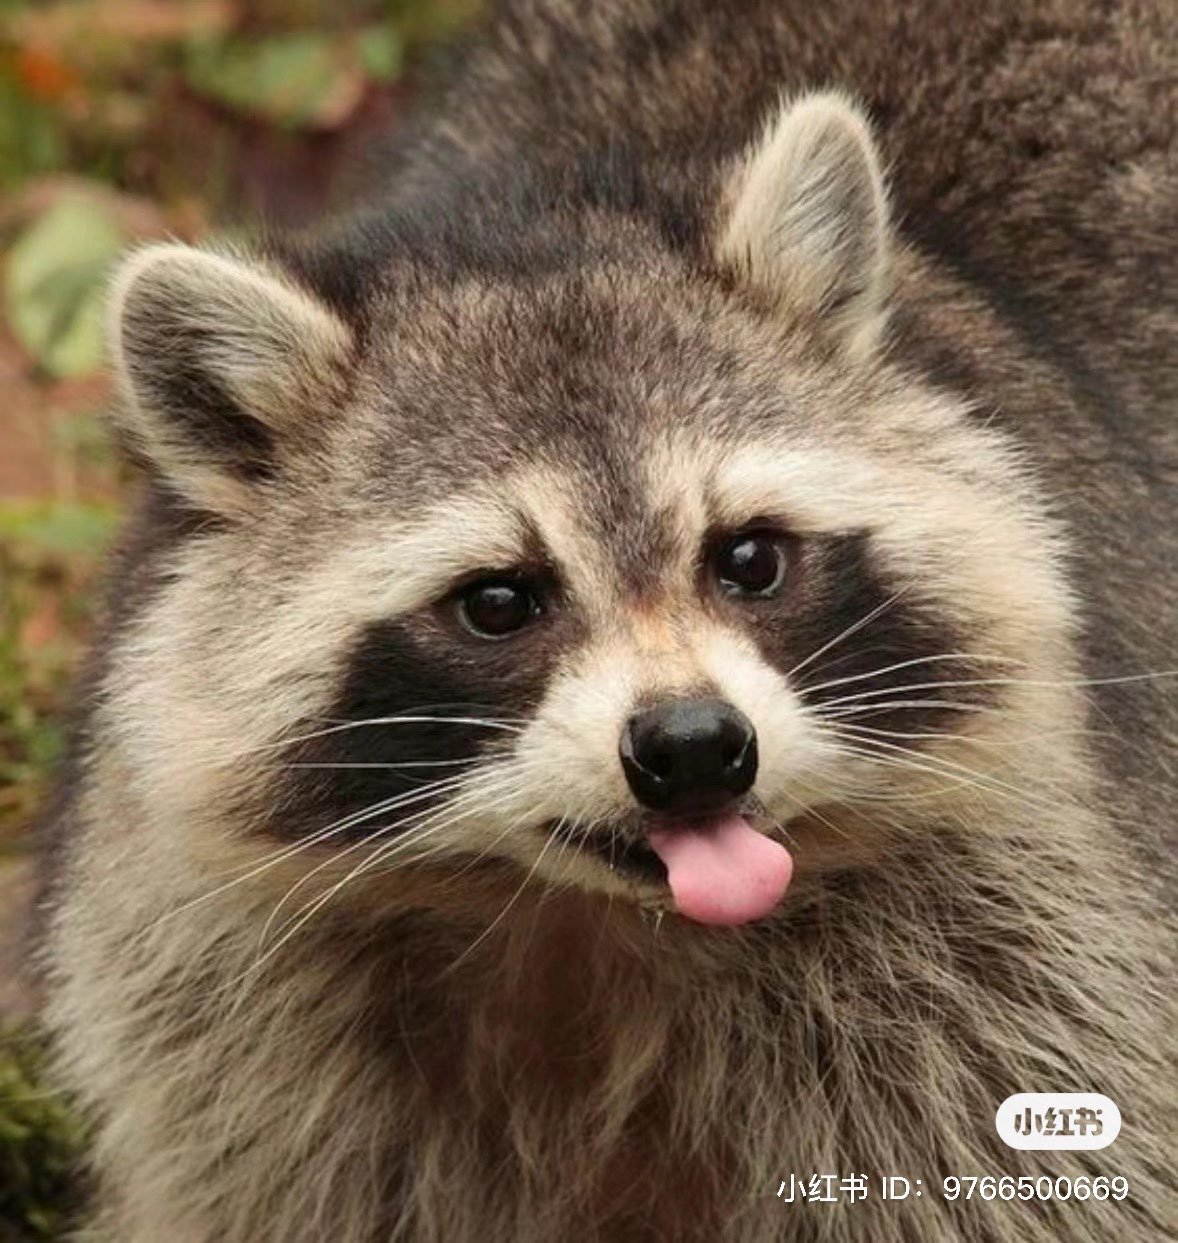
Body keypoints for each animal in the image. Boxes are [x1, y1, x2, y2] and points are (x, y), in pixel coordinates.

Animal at [38, 1, 1176, 1241]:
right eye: (497, 601)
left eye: (748, 558)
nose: (695, 748)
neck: (590, 919)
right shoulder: (246, 1035)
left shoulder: (1022, 958)